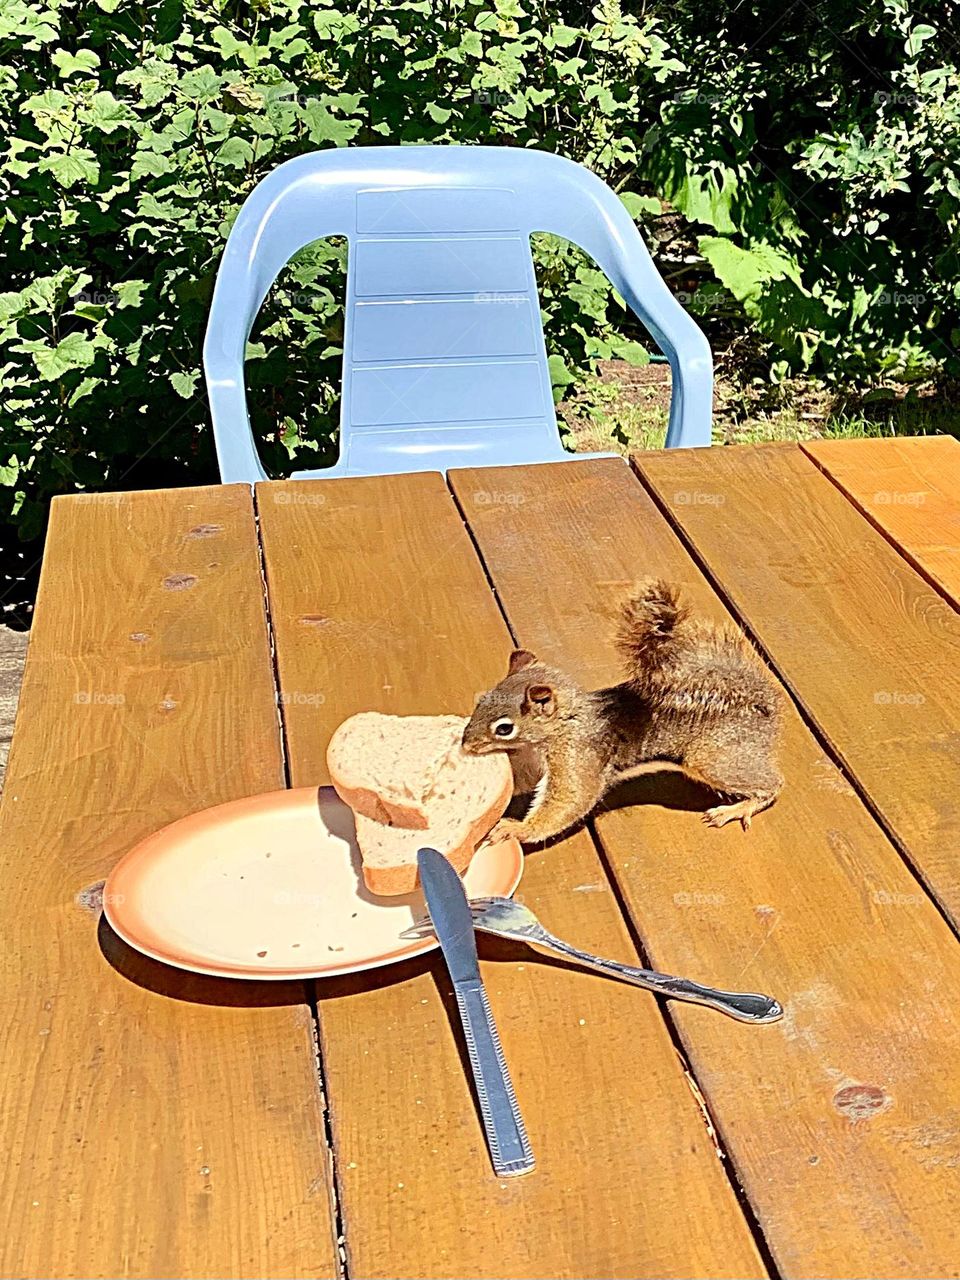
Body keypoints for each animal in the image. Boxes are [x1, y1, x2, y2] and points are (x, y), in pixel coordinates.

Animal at [461, 579, 783, 846]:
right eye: (481, 701)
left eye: (504, 728)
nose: (465, 745)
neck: (560, 728)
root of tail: (761, 704)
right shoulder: (534, 762)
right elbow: (525, 781)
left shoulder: (578, 757)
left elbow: (569, 801)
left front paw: (515, 829)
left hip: (717, 757)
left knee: (772, 785)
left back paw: (737, 808)